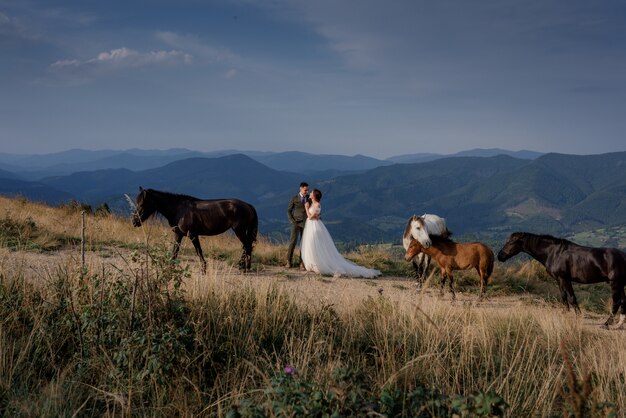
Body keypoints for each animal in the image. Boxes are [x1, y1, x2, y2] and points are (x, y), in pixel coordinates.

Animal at [130, 188, 258, 272]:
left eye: (142, 204)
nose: (134, 221)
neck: (178, 209)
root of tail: (249, 206)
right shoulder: (178, 235)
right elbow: (175, 251)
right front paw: (170, 267)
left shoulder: (192, 234)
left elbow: (198, 251)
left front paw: (203, 268)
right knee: (247, 246)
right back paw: (244, 266)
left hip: (239, 231)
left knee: (247, 245)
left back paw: (244, 267)